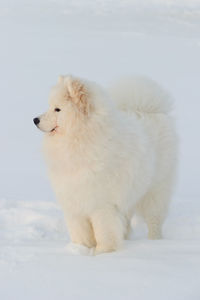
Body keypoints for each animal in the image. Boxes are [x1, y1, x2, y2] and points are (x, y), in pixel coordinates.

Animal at [34, 75, 177, 253]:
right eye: (50, 106)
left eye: (58, 109)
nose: (35, 120)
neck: (80, 140)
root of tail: (146, 109)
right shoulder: (74, 202)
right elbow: (80, 232)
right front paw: (80, 249)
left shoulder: (102, 204)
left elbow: (104, 231)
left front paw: (104, 253)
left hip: (155, 191)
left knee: (154, 219)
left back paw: (155, 242)